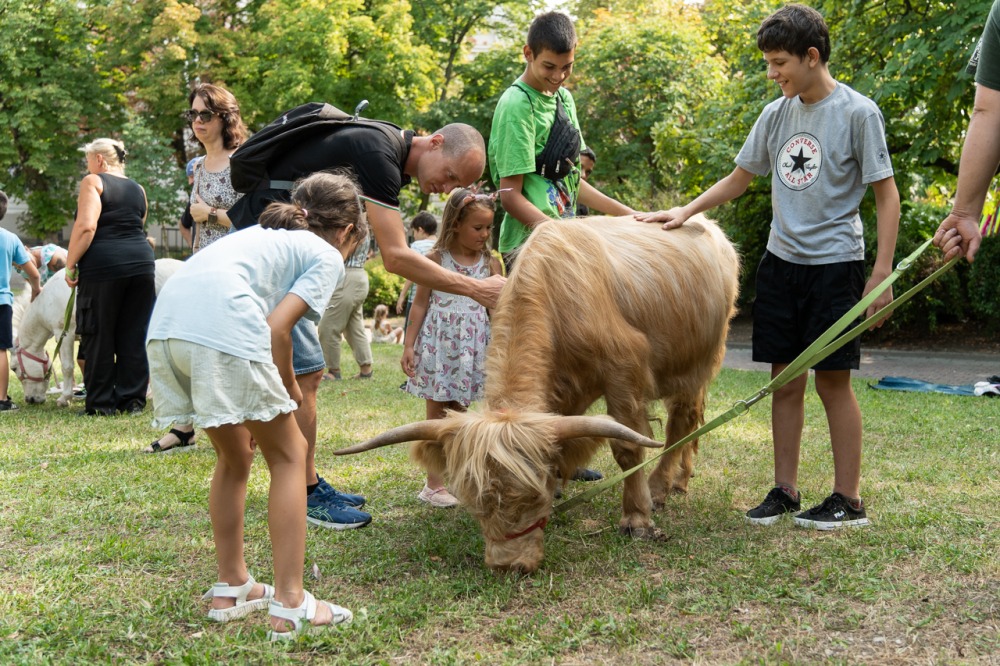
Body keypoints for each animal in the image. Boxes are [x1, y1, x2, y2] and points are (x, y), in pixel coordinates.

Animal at [338, 216, 740, 572]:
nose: (509, 565)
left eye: (533, 497)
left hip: (696, 361)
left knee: (682, 420)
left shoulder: (623, 371)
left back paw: (659, 487)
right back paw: (682, 479)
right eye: (475, 502)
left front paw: (637, 518)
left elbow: (627, 448)